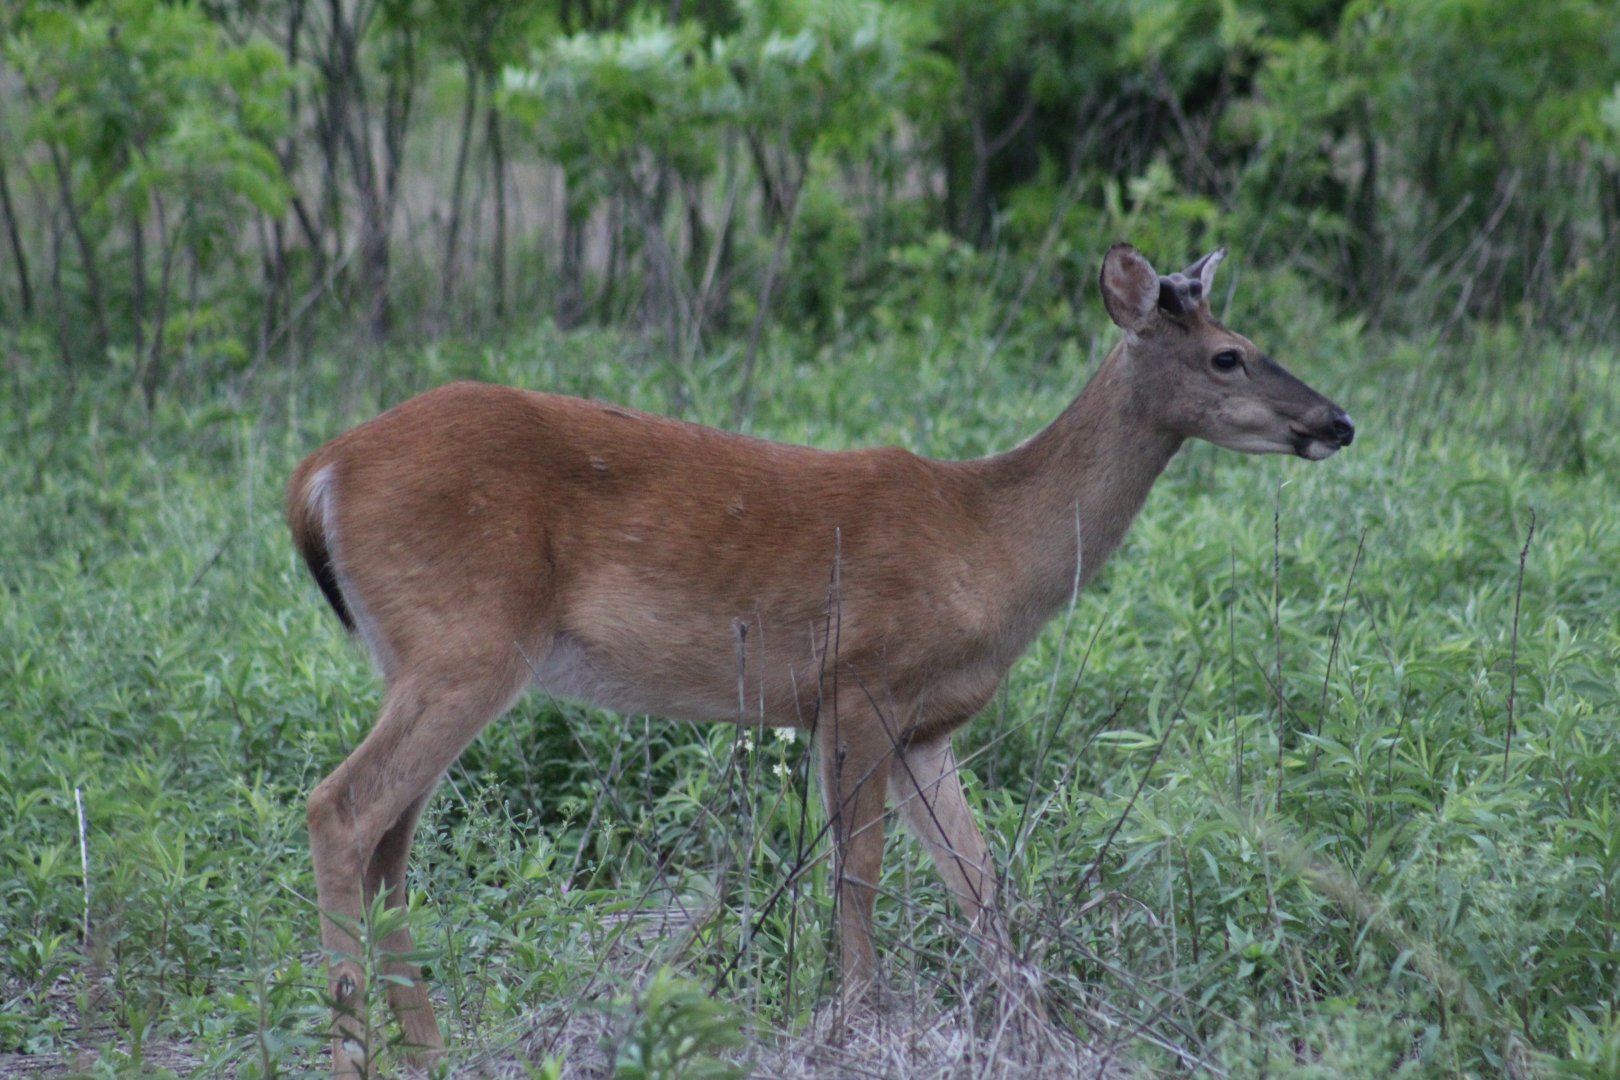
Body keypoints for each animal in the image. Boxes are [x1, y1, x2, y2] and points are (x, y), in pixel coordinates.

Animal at [287, 243, 1354, 1076]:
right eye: (1229, 355)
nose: (1337, 421)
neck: (993, 544)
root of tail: (318, 474)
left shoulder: (927, 727)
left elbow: (982, 884)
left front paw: (1035, 1039)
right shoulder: (855, 684)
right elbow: (860, 874)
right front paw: (854, 1027)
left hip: (421, 657)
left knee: (391, 843)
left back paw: (431, 1052)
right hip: (467, 644)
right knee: (341, 806)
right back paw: (355, 1050)